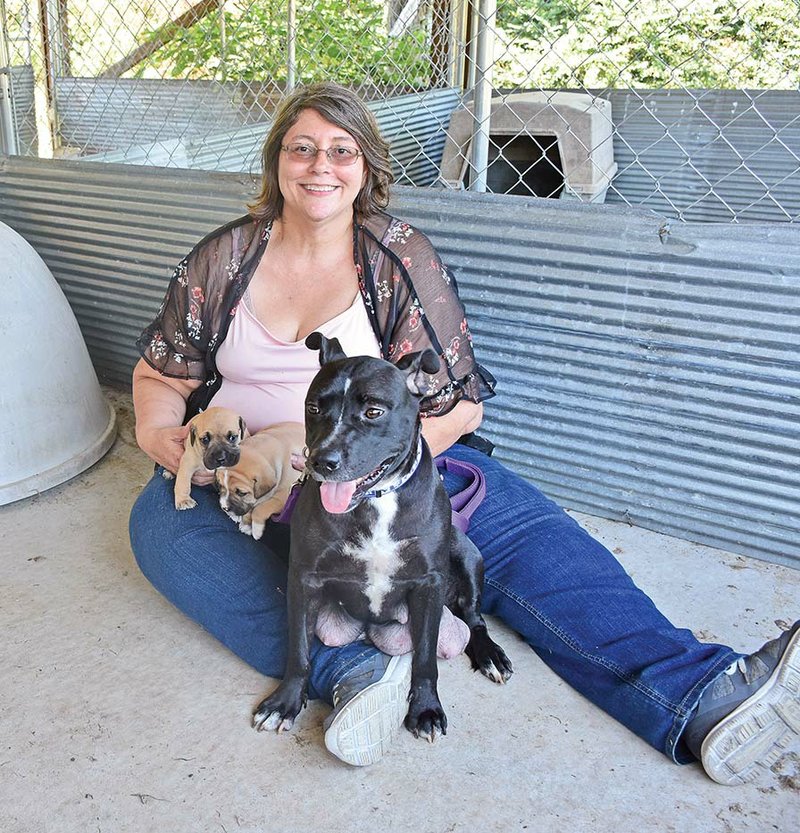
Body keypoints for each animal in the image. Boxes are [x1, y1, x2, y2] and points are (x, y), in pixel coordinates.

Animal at [253, 332, 510, 740]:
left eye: (373, 412)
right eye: (313, 407)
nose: (321, 461)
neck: (376, 500)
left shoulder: (428, 583)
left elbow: (425, 658)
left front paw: (426, 708)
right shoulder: (305, 579)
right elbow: (299, 650)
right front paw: (285, 702)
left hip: (466, 552)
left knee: (472, 618)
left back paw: (489, 654)